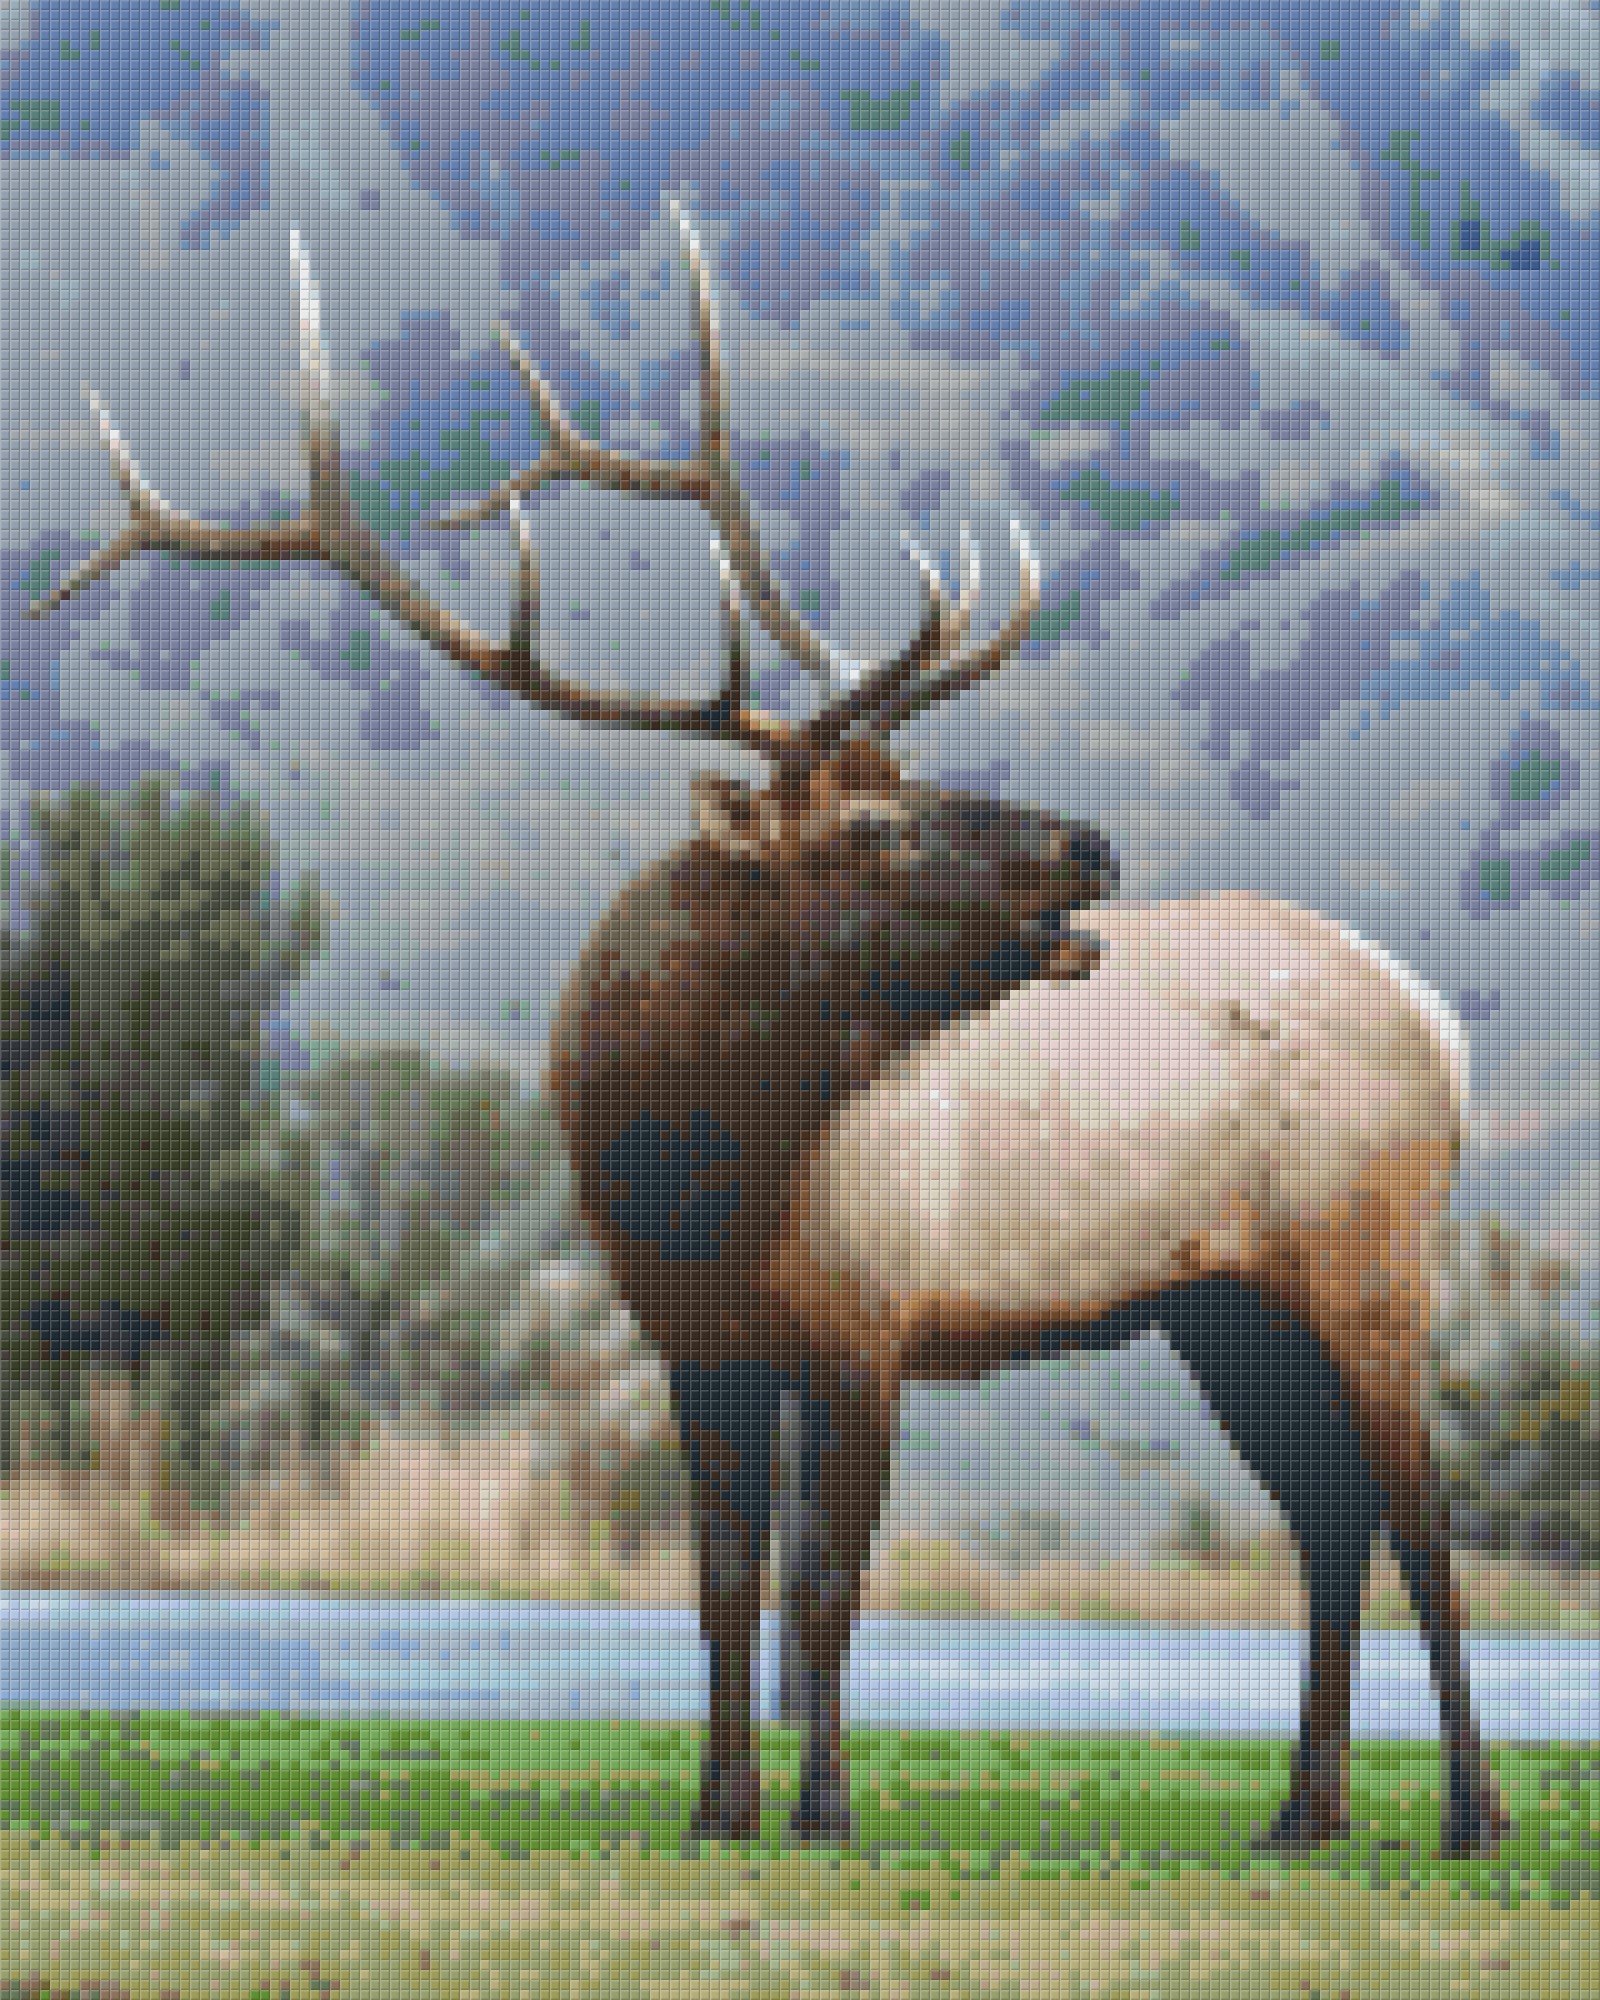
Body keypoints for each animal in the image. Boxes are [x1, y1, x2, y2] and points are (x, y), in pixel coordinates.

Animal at [28, 200, 1511, 1862]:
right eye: (875, 821)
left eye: (910, 778)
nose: (1090, 846)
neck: (703, 1172)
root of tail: (1439, 1017)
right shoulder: (694, 1339)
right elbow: (725, 1586)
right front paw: (718, 1803)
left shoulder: (870, 1322)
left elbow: (829, 1585)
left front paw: (823, 1806)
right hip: (1222, 1299)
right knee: (1333, 1518)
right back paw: (1304, 1811)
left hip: (1366, 1252)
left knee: (1422, 1519)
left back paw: (1471, 1814)